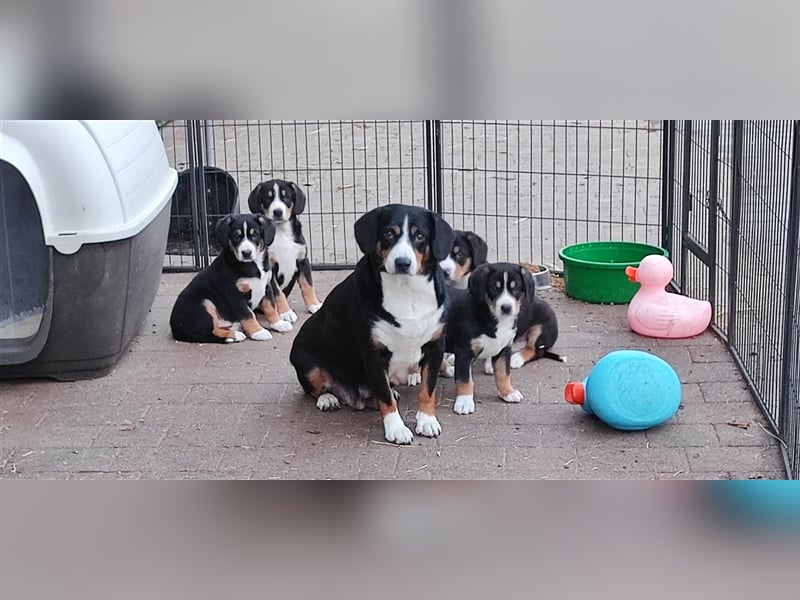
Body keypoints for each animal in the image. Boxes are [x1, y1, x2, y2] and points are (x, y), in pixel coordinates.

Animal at [169, 213, 288, 342]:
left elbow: (271, 307)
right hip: (205, 303)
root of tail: (175, 328)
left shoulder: (266, 287)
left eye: (255, 234)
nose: (246, 253)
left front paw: (279, 323)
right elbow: (248, 315)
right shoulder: (235, 295)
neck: (253, 265)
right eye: (236, 235)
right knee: (209, 332)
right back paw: (235, 335)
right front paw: (258, 332)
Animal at [247, 177, 322, 324]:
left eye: (286, 196)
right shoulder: (270, 268)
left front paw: (314, 304)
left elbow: (308, 286)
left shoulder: (302, 260)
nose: (277, 212)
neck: (281, 233)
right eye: (268, 198)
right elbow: (278, 293)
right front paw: (286, 312)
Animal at [292, 204, 456, 442]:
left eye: (420, 236)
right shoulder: (373, 353)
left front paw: (427, 420)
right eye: (388, 233)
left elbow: (428, 389)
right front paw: (396, 429)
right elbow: (386, 398)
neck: (406, 292)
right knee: (318, 388)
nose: (402, 262)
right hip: (307, 363)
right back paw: (328, 399)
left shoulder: (435, 346)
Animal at [446, 264, 528, 414]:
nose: (506, 307)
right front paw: (464, 402)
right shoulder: (464, 351)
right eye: (494, 287)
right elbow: (465, 379)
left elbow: (503, 373)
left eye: (515, 288)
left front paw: (508, 392)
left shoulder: (504, 349)